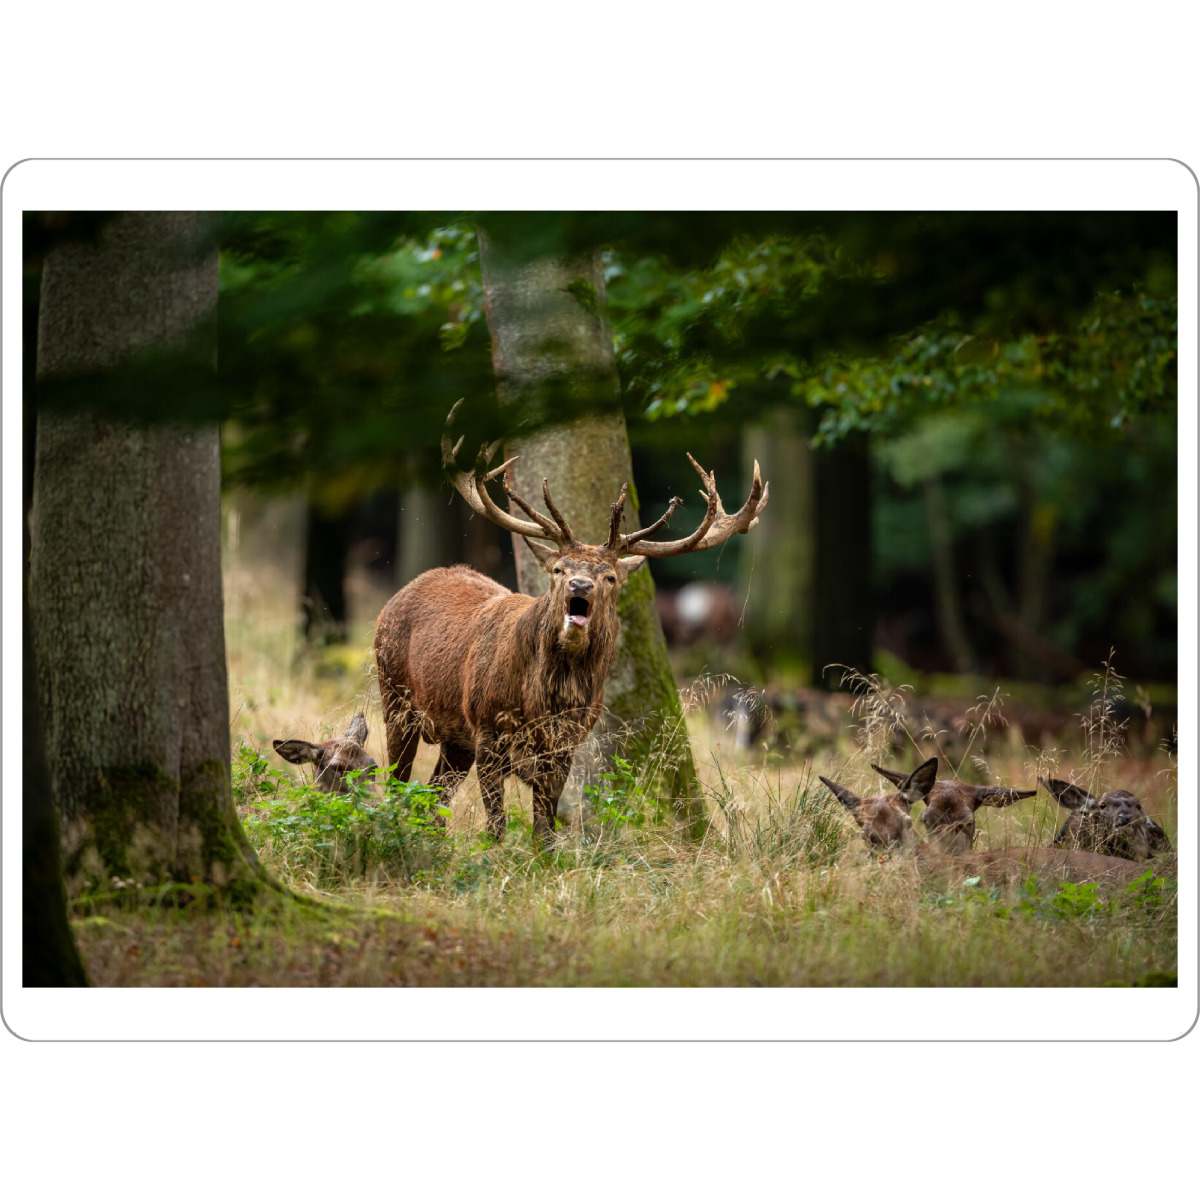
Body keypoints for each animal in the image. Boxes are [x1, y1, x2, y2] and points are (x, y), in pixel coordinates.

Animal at [373, 402, 769, 844]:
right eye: (560, 568)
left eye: (610, 577)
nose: (581, 584)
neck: (544, 702)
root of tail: (401, 593)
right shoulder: (488, 729)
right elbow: (496, 825)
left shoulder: (567, 744)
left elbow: (544, 827)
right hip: (395, 698)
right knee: (398, 783)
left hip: (453, 738)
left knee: (432, 796)